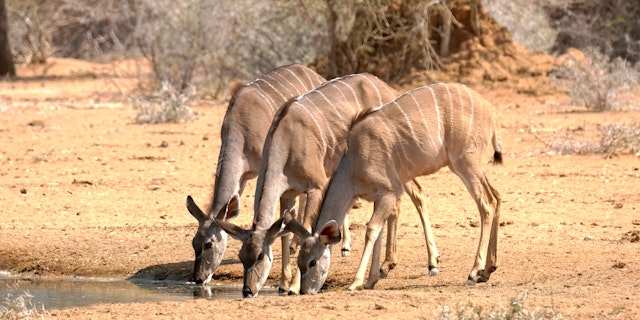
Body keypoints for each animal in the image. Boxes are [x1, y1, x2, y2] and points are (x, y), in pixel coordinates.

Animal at [184, 63, 324, 284]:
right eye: (194, 242)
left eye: (208, 244)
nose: (198, 278)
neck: (241, 124)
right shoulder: (240, 178)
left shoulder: (262, 169)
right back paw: (294, 243)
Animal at [215, 72, 440, 298]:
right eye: (242, 256)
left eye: (260, 256)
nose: (247, 290)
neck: (286, 138)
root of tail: (385, 86)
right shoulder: (287, 194)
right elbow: (286, 233)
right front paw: (283, 284)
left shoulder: (317, 187)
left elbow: (306, 228)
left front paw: (294, 287)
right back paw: (387, 265)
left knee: (416, 194)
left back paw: (431, 263)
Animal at [288, 82, 502, 292]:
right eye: (299, 262)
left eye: (313, 262)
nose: (305, 290)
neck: (354, 161)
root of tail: (490, 111)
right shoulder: (379, 196)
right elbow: (378, 231)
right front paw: (371, 280)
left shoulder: (389, 192)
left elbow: (371, 229)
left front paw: (357, 282)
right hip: (472, 168)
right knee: (496, 197)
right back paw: (487, 271)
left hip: (465, 164)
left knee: (486, 206)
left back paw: (473, 273)